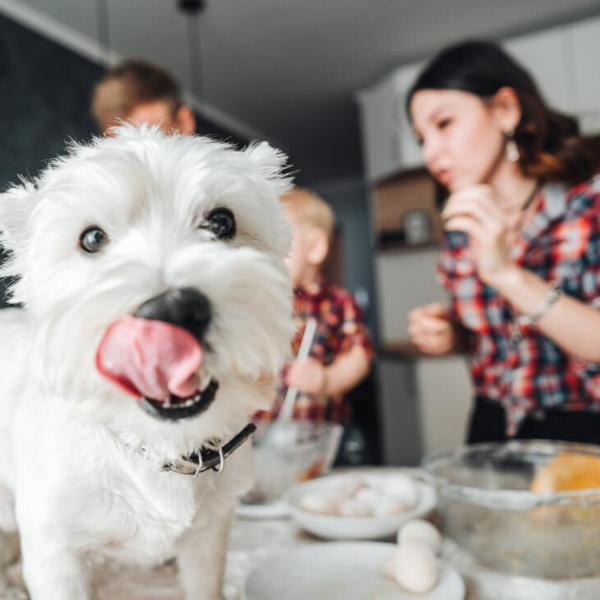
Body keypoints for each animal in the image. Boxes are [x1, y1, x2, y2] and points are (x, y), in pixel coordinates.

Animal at [0, 124, 292, 596]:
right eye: (91, 239)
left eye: (222, 221)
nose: (172, 310)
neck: (157, 447)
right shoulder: (56, 554)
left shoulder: (209, 539)